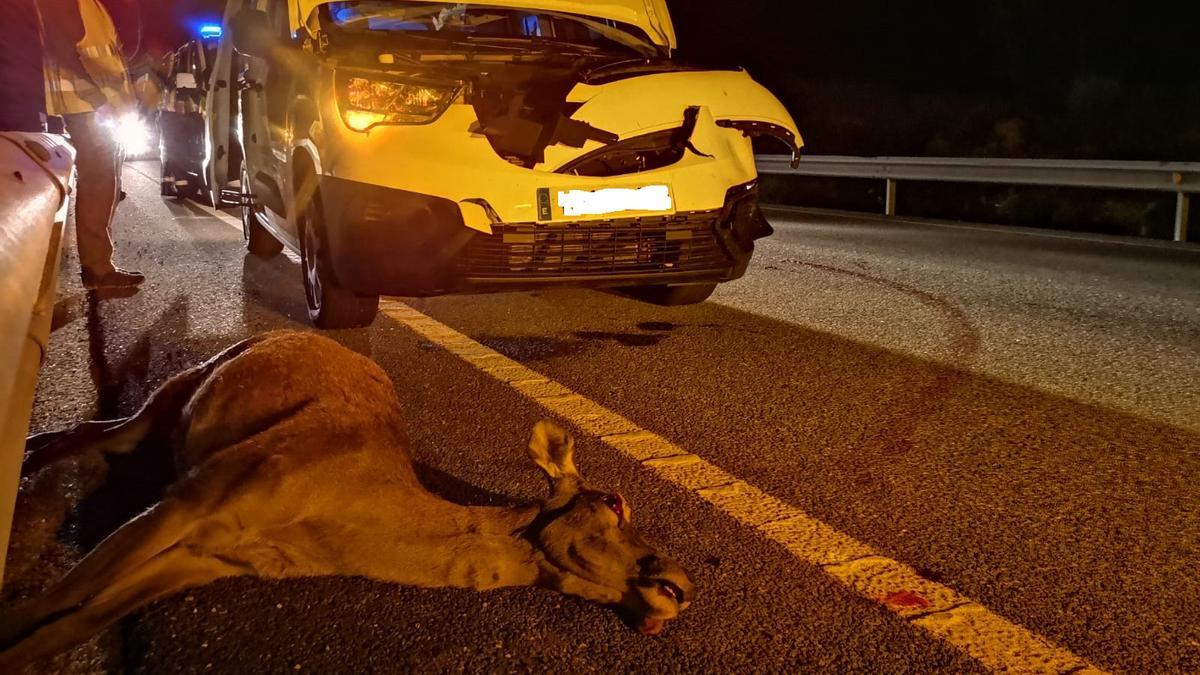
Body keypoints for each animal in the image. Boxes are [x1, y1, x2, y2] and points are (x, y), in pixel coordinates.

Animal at [2, 329, 696, 662]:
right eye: (615, 503)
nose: (682, 587)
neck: (341, 522)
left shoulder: (212, 555)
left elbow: (80, 617)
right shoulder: (200, 493)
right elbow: (61, 596)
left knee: (100, 435)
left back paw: (34, 449)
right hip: (181, 390)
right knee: (108, 429)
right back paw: (33, 450)